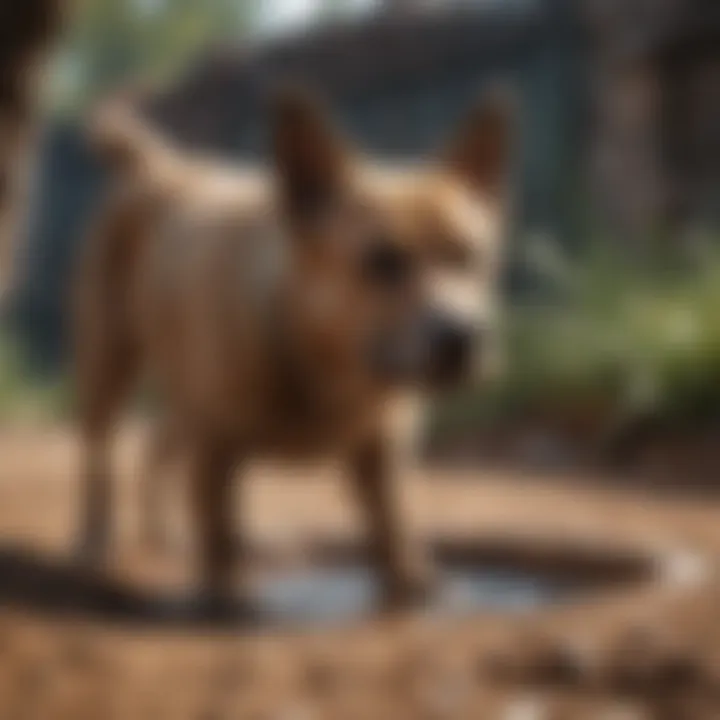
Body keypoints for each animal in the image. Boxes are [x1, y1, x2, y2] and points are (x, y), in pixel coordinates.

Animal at [71, 86, 512, 612]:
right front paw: (226, 593)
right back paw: (94, 540)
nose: (462, 337)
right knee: (100, 454)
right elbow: (222, 528)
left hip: (182, 398)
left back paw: (164, 534)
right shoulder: (217, 446)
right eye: (382, 261)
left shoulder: (381, 455)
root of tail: (162, 165)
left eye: (470, 257)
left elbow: (393, 522)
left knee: (157, 447)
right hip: (107, 365)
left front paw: (410, 580)